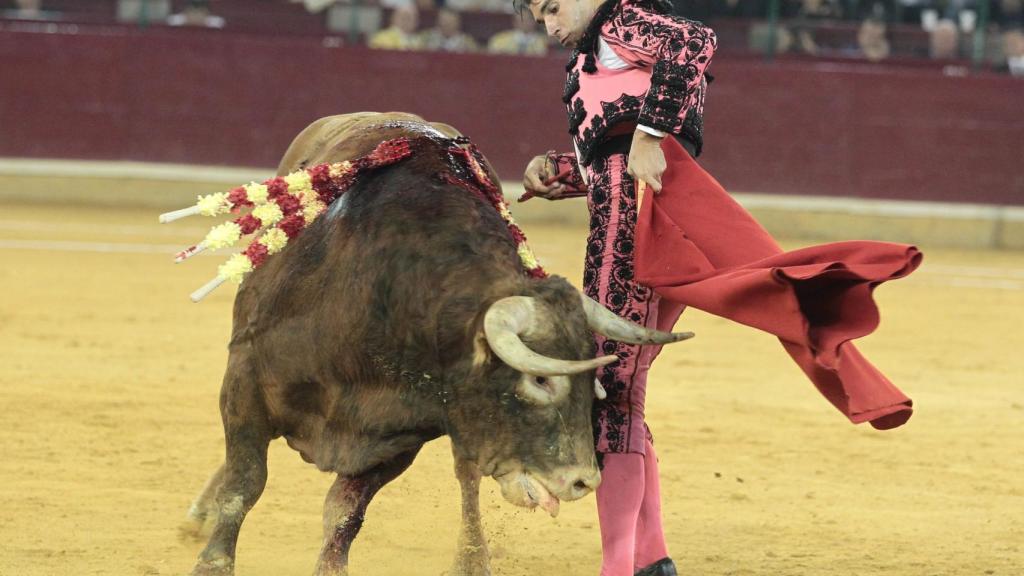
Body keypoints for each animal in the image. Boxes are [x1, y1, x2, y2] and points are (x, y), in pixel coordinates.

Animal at [180, 109, 692, 569]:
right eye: (540, 380)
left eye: (592, 382)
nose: (585, 482)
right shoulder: (245, 378)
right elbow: (245, 484)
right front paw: (212, 560)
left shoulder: (398, 434)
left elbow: (344, 514)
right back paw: (198, 515)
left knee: (467, 478)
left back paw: (473, 558)